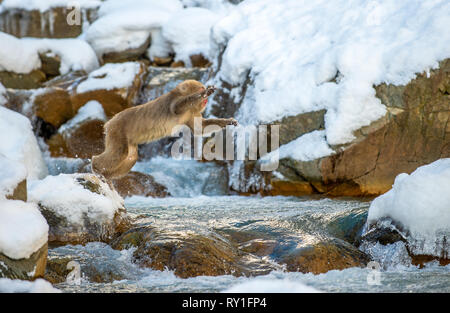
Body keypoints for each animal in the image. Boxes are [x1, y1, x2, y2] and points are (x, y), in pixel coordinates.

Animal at [92, 79, 239, 179]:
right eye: (200, 88)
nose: (206, 100)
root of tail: (110, 122)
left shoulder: (191, 113)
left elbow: (200, 129)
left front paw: (229, 121)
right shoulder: (176, 102)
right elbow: (177, 108)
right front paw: (205, 93)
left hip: (127, 140)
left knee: (130, 157)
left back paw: (106, 175)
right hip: (117, 131)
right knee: (120, 153)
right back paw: (96, 166)